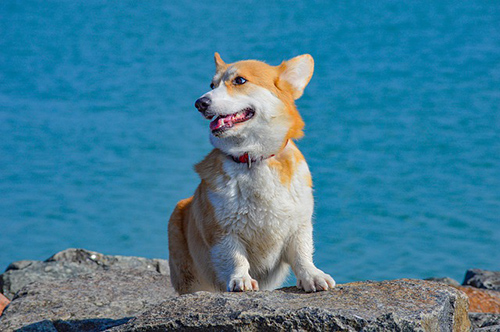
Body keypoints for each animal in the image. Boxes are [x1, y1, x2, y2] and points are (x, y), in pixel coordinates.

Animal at [169, 53, 336, 294]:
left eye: (239, 81)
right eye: (212, 85)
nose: (200, 103)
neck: (252, 159)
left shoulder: (299, 225)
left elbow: (302, 254)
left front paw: (313, 276)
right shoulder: (223, 232)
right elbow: (236, 258)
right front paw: (241, 280)